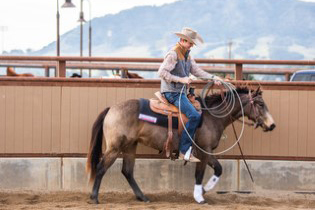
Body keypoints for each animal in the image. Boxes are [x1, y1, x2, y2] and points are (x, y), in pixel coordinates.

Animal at [86, 86, 276, 204]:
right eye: (260, 104)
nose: (272, 125)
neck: (211, 117)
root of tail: (111, 109)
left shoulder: (206, 152)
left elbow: (218, 169)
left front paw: (204, 190)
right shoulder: (203, 152)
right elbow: (200, 174)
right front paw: (200, 196)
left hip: (130, 146)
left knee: (127, 171)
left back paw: (143, 197)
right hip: (115, 147)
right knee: (101, 167)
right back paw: (94, 198)